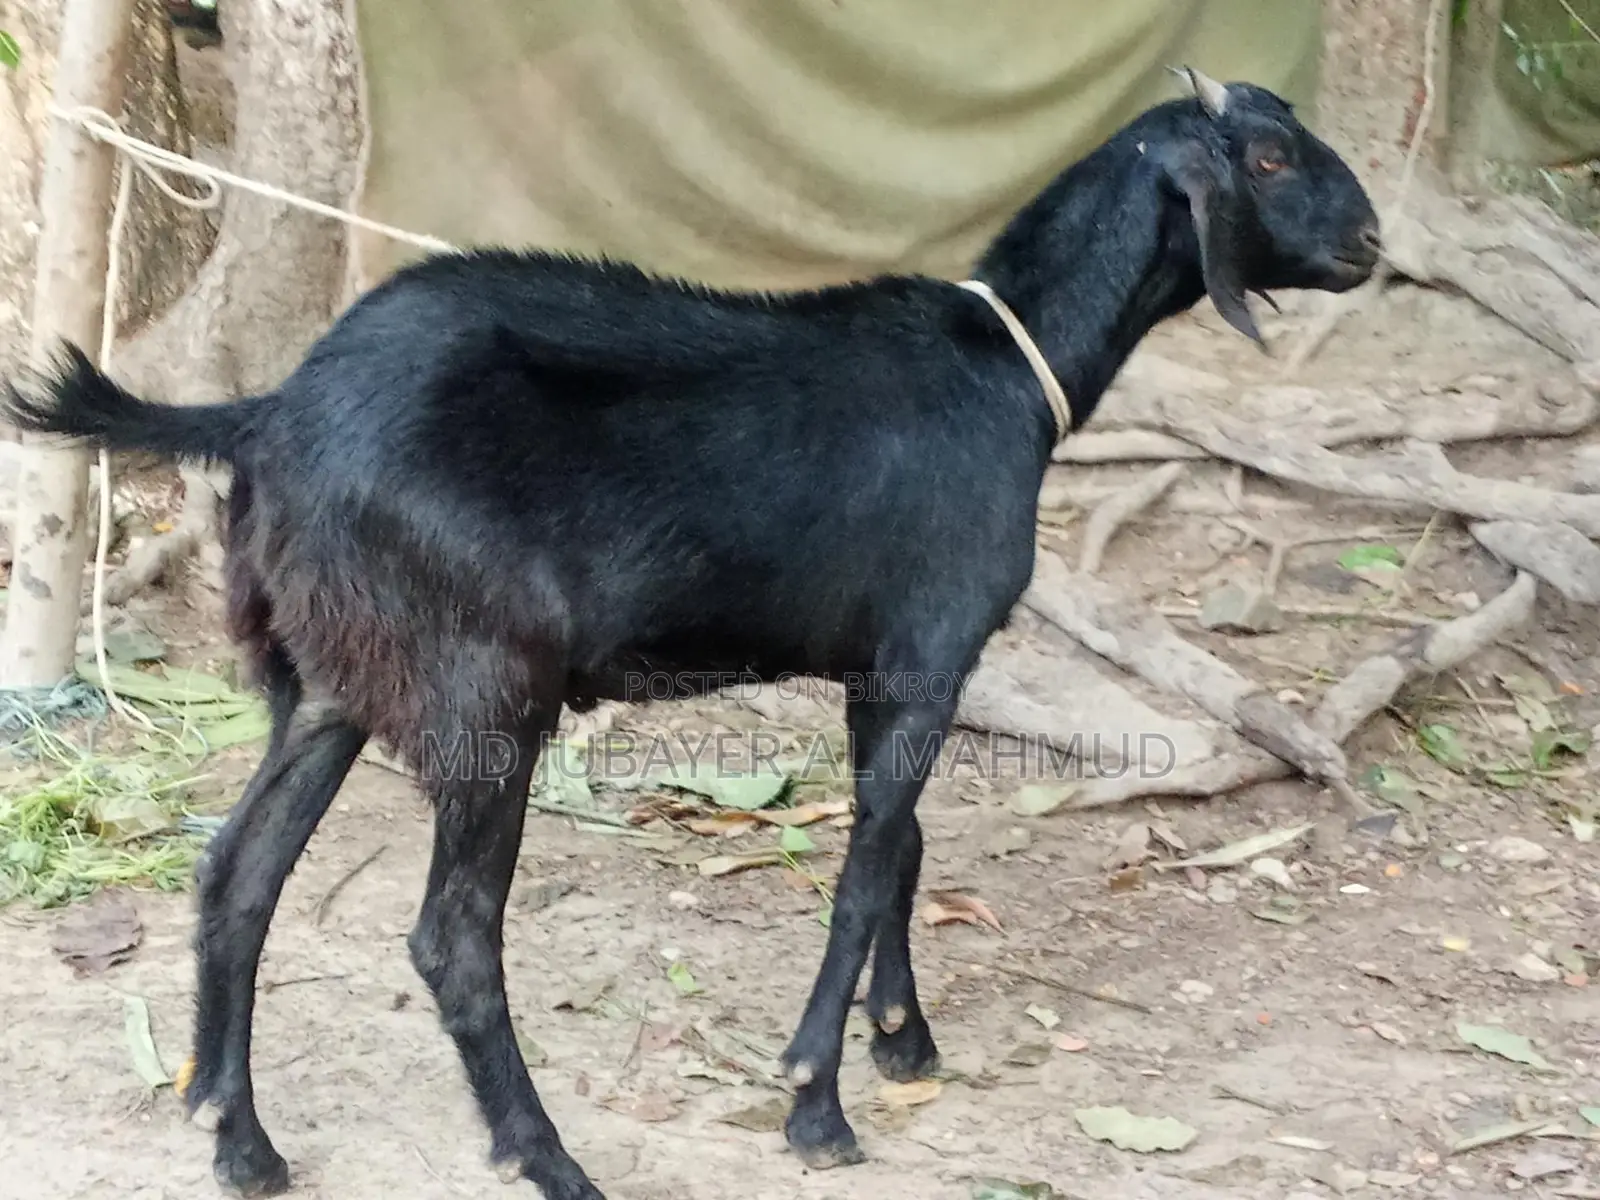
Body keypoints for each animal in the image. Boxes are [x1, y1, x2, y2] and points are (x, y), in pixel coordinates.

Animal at [4, 69, 1378, 1199]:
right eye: (1264, 158)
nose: (1369, 240)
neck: (1001, 368)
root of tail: (269, 413)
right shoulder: (930, 651)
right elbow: (867, 867)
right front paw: (816, 1101)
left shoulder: (884, 667)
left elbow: (903, 847)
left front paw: (903, 1041)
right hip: (486, 687)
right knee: (452, 937)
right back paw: (548, 1161)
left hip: (324, 680)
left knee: (237, 875)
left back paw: (238, 1138)